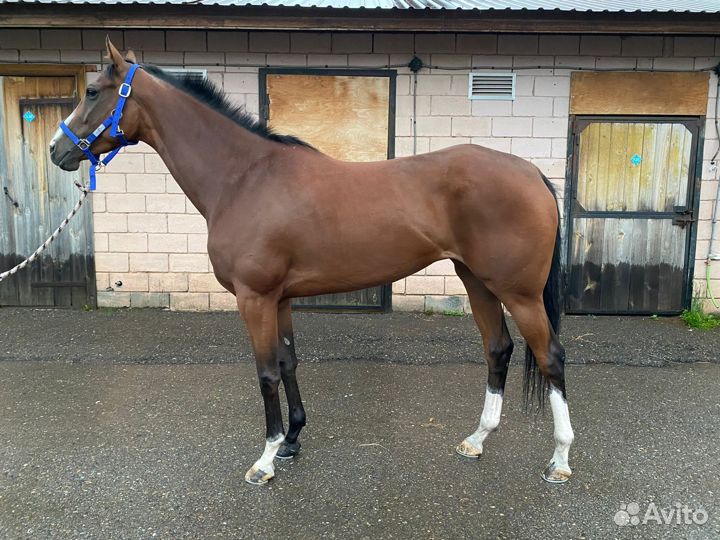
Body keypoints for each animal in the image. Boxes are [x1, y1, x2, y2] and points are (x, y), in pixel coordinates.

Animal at [50, 38, 574, 486]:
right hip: (478, 281)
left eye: (93, 91)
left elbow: (264, 373)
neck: (244, 178)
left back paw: (560, 460)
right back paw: (477, 440)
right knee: (498, 349)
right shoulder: (279, 298)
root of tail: (531, 172)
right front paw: (291, 441)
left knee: (550, 356)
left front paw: (264, 460)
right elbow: (287, 362)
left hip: (519, 292)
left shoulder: (255, 298)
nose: (58, 150)